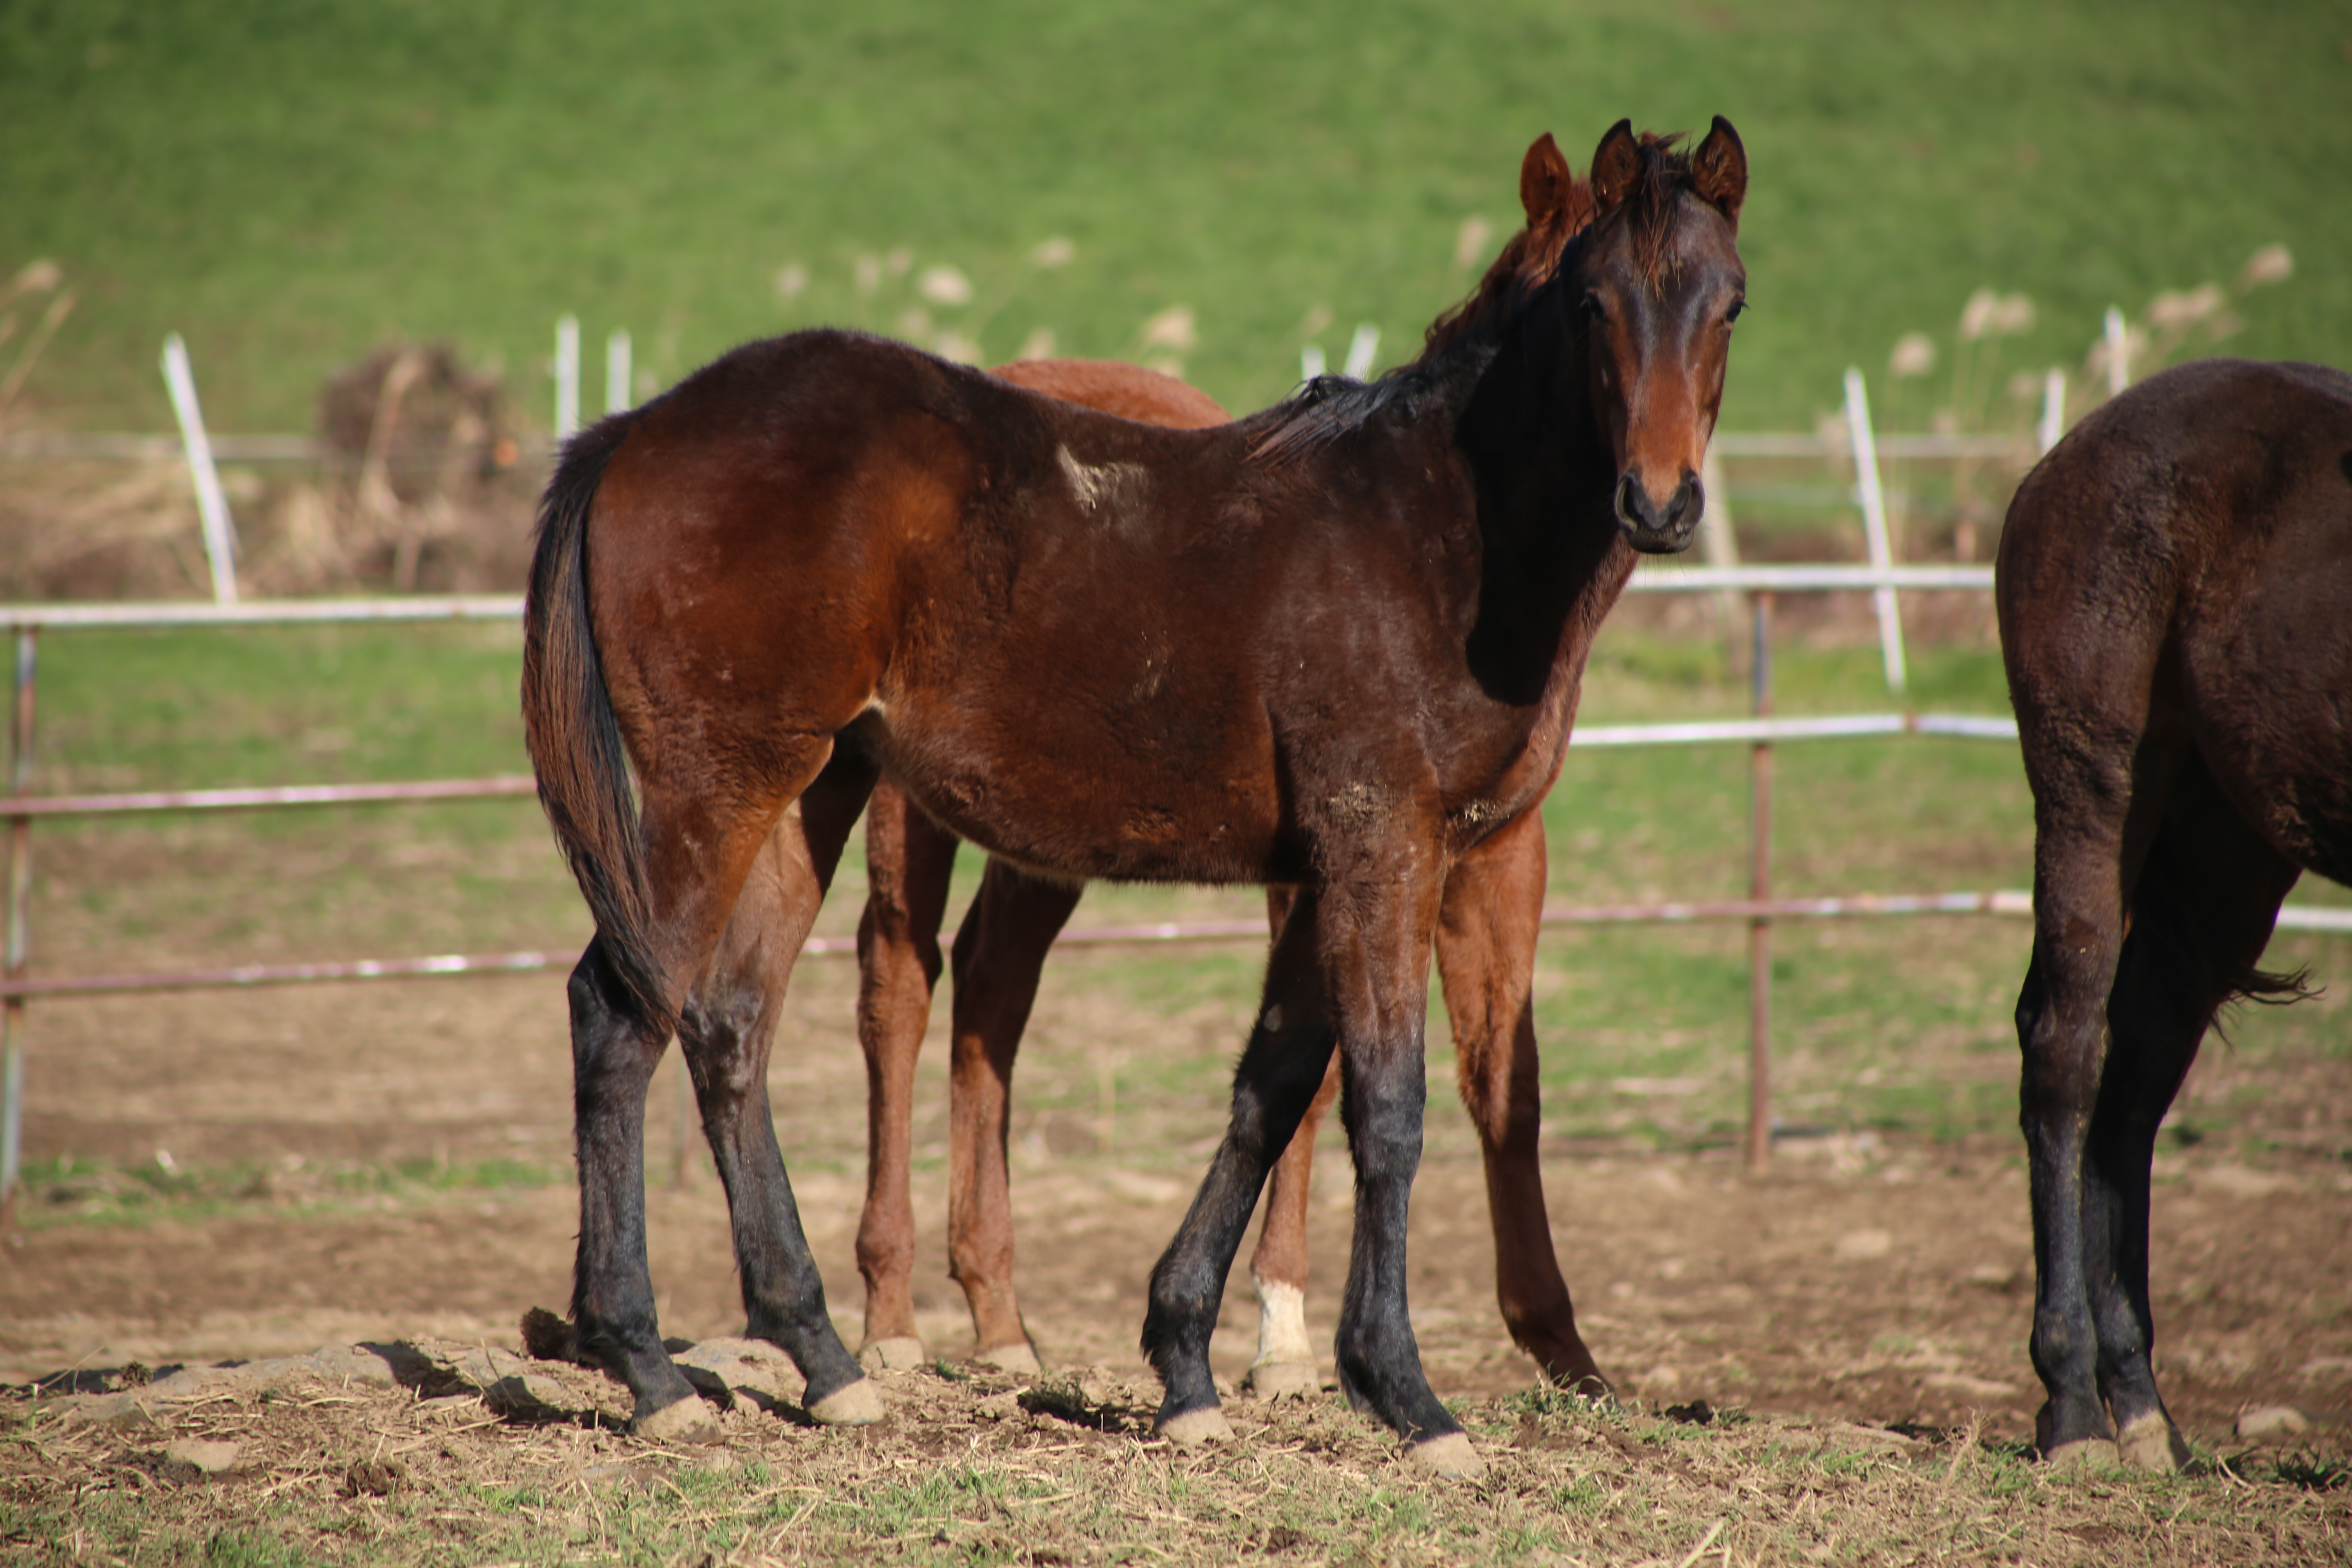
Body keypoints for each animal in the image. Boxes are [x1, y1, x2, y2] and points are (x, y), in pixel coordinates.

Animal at [856, 359, 1608, 1410]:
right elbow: (1316, 1074)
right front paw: (1281, 1332)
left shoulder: (1494, 864)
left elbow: (1503, 1081)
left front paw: (1559, 1343)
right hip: (908, 808)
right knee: (898, 985)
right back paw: (889, 1318)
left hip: (1044, 847)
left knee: (992, 987)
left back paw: (999, 1317)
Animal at [1994, 355, 2342, 1476]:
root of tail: (2064, 453)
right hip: (2096, 786)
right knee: (2064, 1054)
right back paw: (2071, 1406)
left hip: (2227, 843)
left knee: (2135, 1078)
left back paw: (2139, 1402)